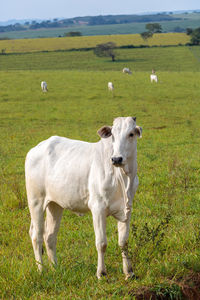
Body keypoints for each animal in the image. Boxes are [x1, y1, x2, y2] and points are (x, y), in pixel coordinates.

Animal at [25, 116, 142, 278]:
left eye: (131, 134)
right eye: (112, 135)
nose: (116, 159)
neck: (123, 179)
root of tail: (36, 148)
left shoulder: (127, 209)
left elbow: (123, 242)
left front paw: (129, 272)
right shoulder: (98, 208)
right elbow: (101, 243)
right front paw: (101, 273)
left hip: (55, 204)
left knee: (50, 236)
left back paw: (55, 268)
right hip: (36, 201)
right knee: (37, 235)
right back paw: (41, 270)